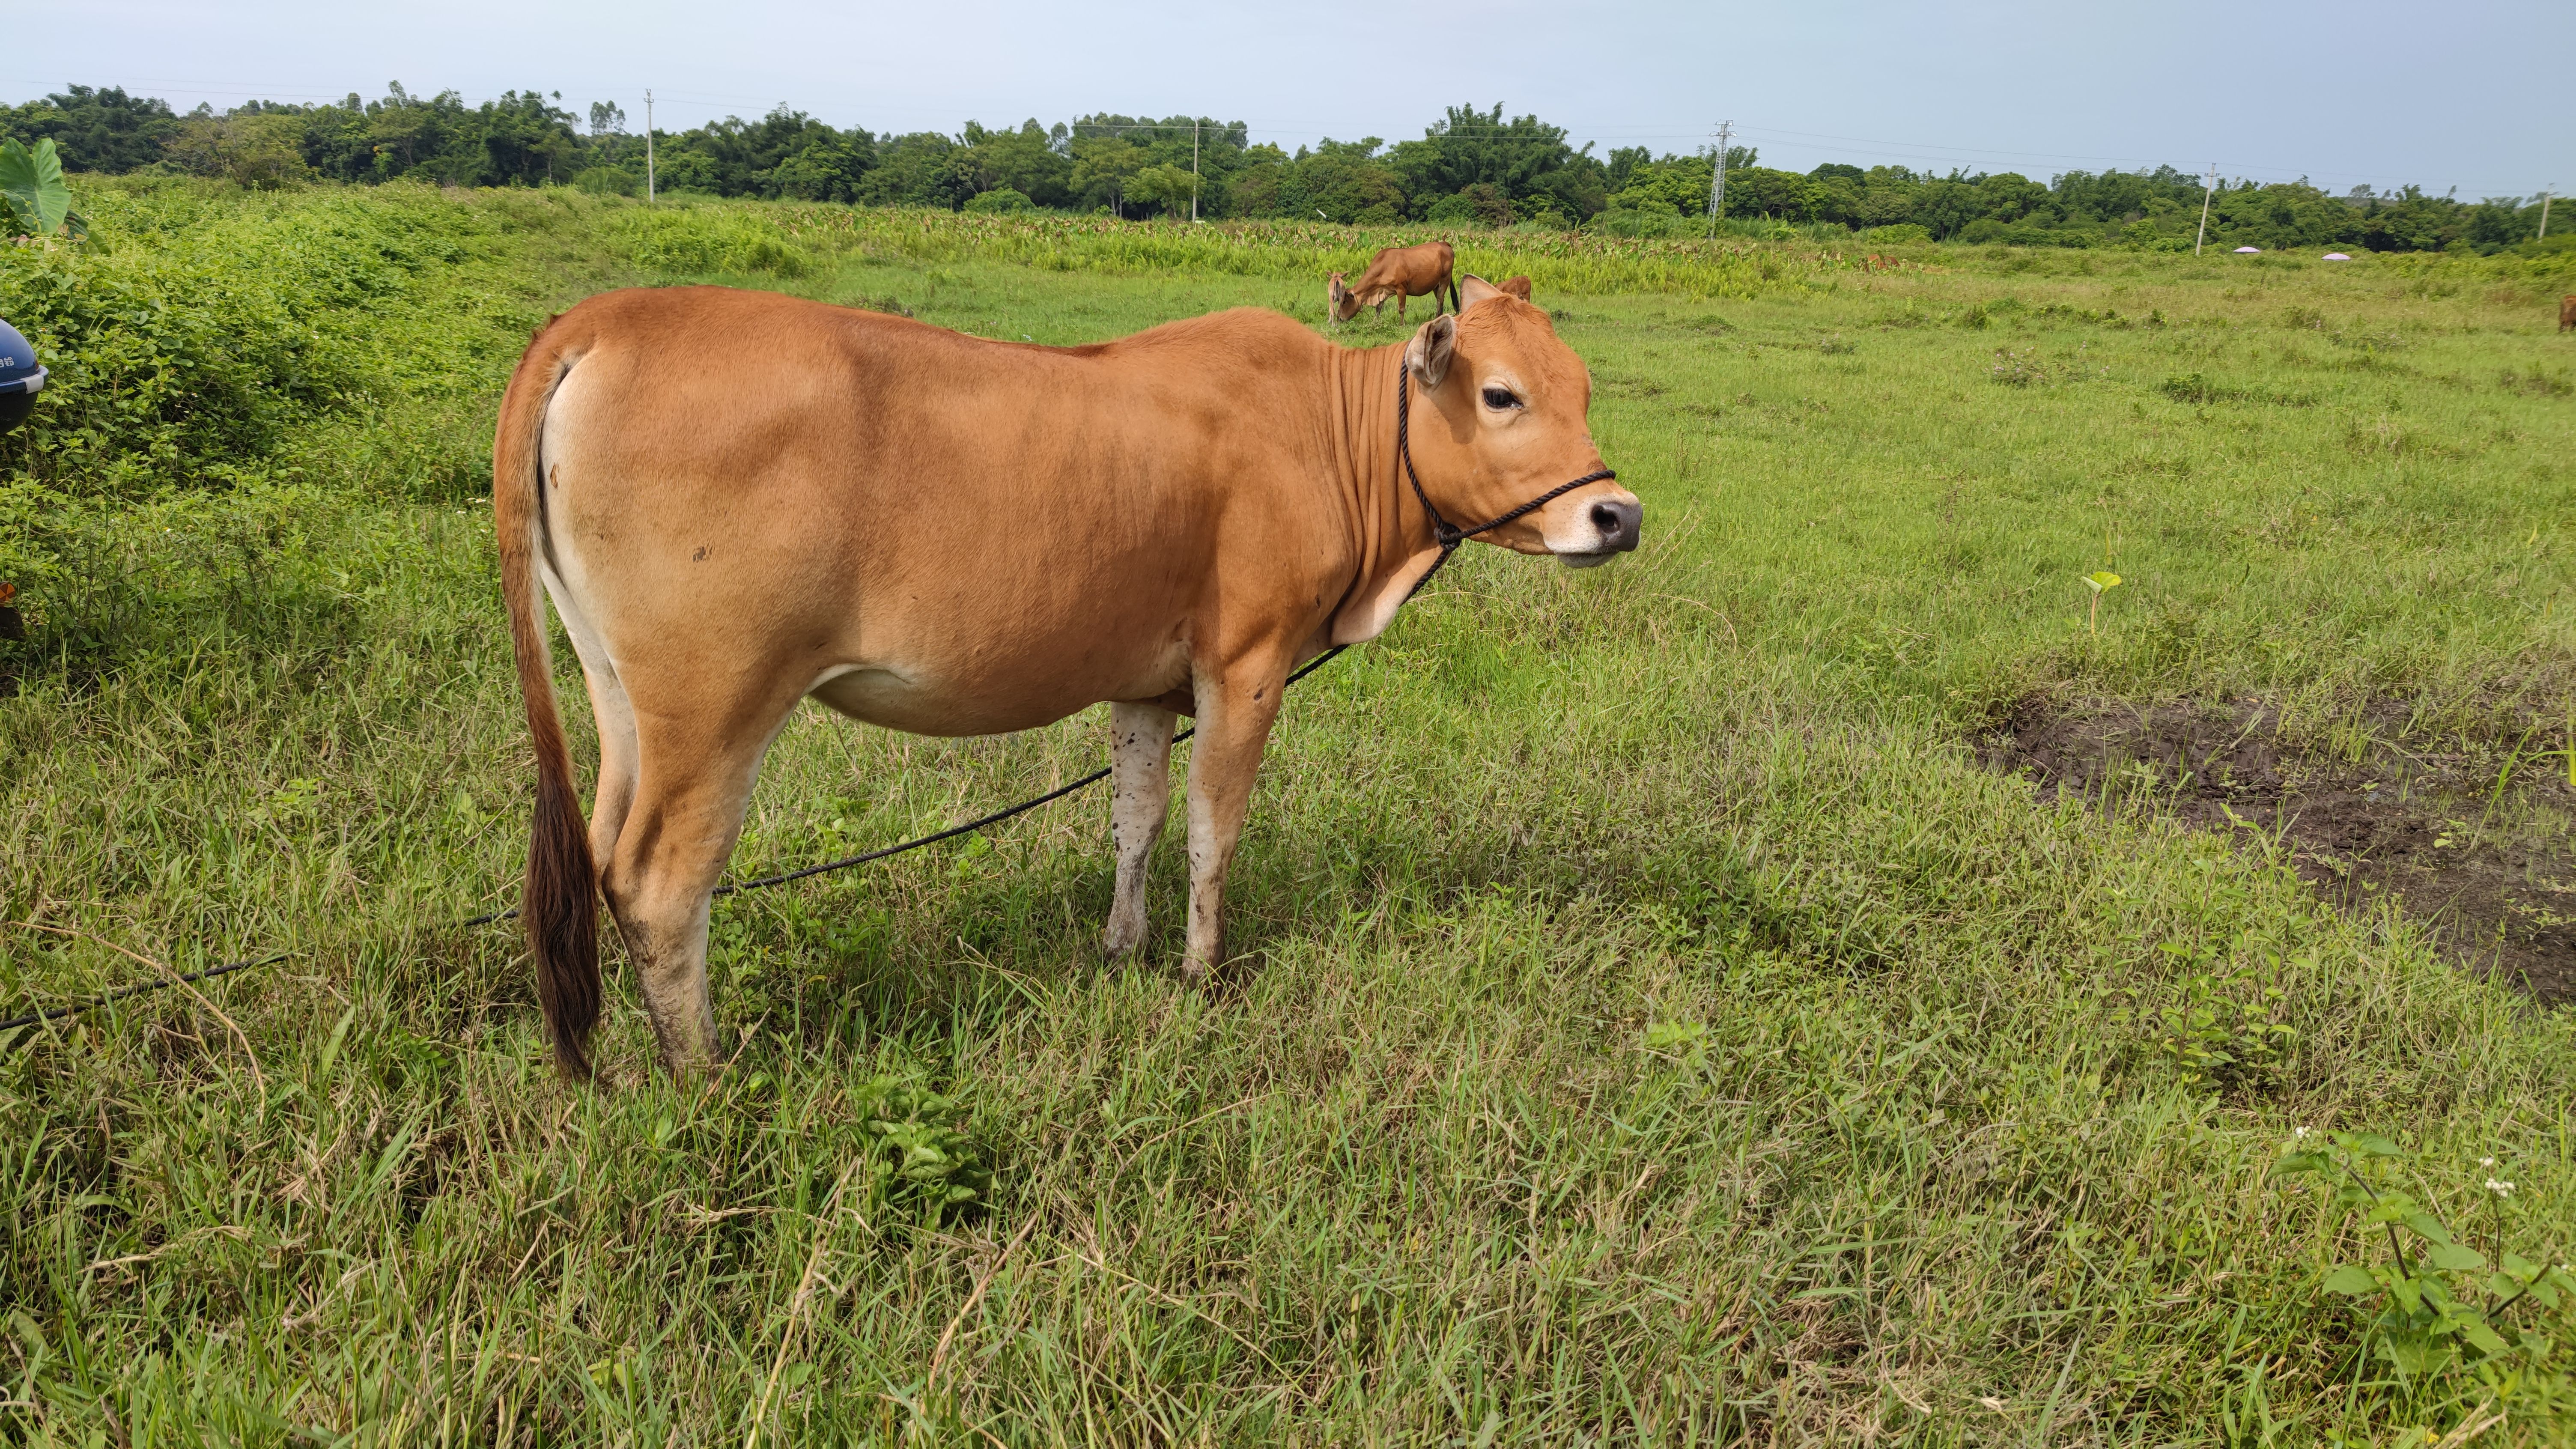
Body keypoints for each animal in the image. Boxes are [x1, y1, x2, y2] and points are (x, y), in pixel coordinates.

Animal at [492, 273, 1638, 1072]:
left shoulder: (1143, 683)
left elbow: (1136, 819)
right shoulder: (1246, 666)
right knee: (660, 883)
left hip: (621, 698)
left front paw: (1122, 947)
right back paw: (703, 1074)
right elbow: (1213, 831)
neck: (1322, 430)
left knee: (599, 856)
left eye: (1583, 388)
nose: (1616, 515)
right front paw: (1200, 973)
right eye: (1501, 395)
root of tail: (609, 318)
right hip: (717, 705)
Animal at [1339, 239, 1463, 321]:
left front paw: (1401, 325)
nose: (1340, 319)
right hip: (1436, 285)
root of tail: (1443, 243)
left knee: (1440, 300)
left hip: (1444, 280)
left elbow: (1401, 309)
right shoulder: (1383, 290)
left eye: (1345, 302)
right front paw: (1375, 322)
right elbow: (1379, 308)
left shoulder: (1401, 289)